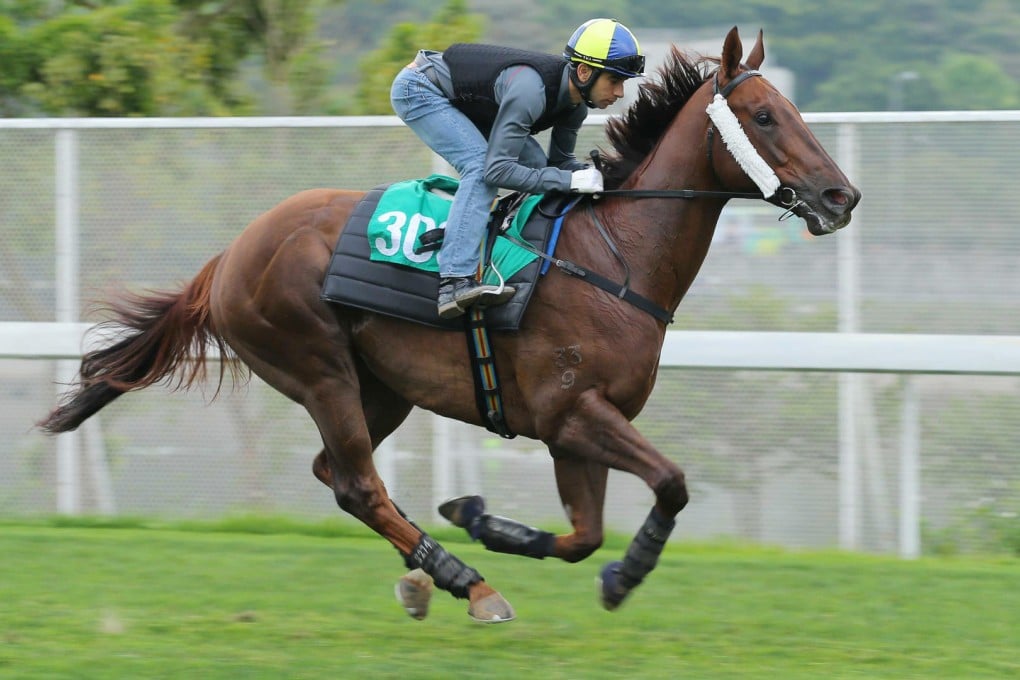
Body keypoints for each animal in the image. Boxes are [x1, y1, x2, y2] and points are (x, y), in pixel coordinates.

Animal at [35, 26, 856, 623]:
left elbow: (583, 535)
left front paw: (483, 517)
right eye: (764, 116)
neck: (613, 255)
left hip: (380, 388)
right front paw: (625, 573)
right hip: (318, 366)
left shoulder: (574, 427)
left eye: (794, 112)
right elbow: (672, 484)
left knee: (337, 475)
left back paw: (428, 574)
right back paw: (468, 581)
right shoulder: (573, 411)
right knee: (357, 484)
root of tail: (229, 254)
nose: (840, 197)